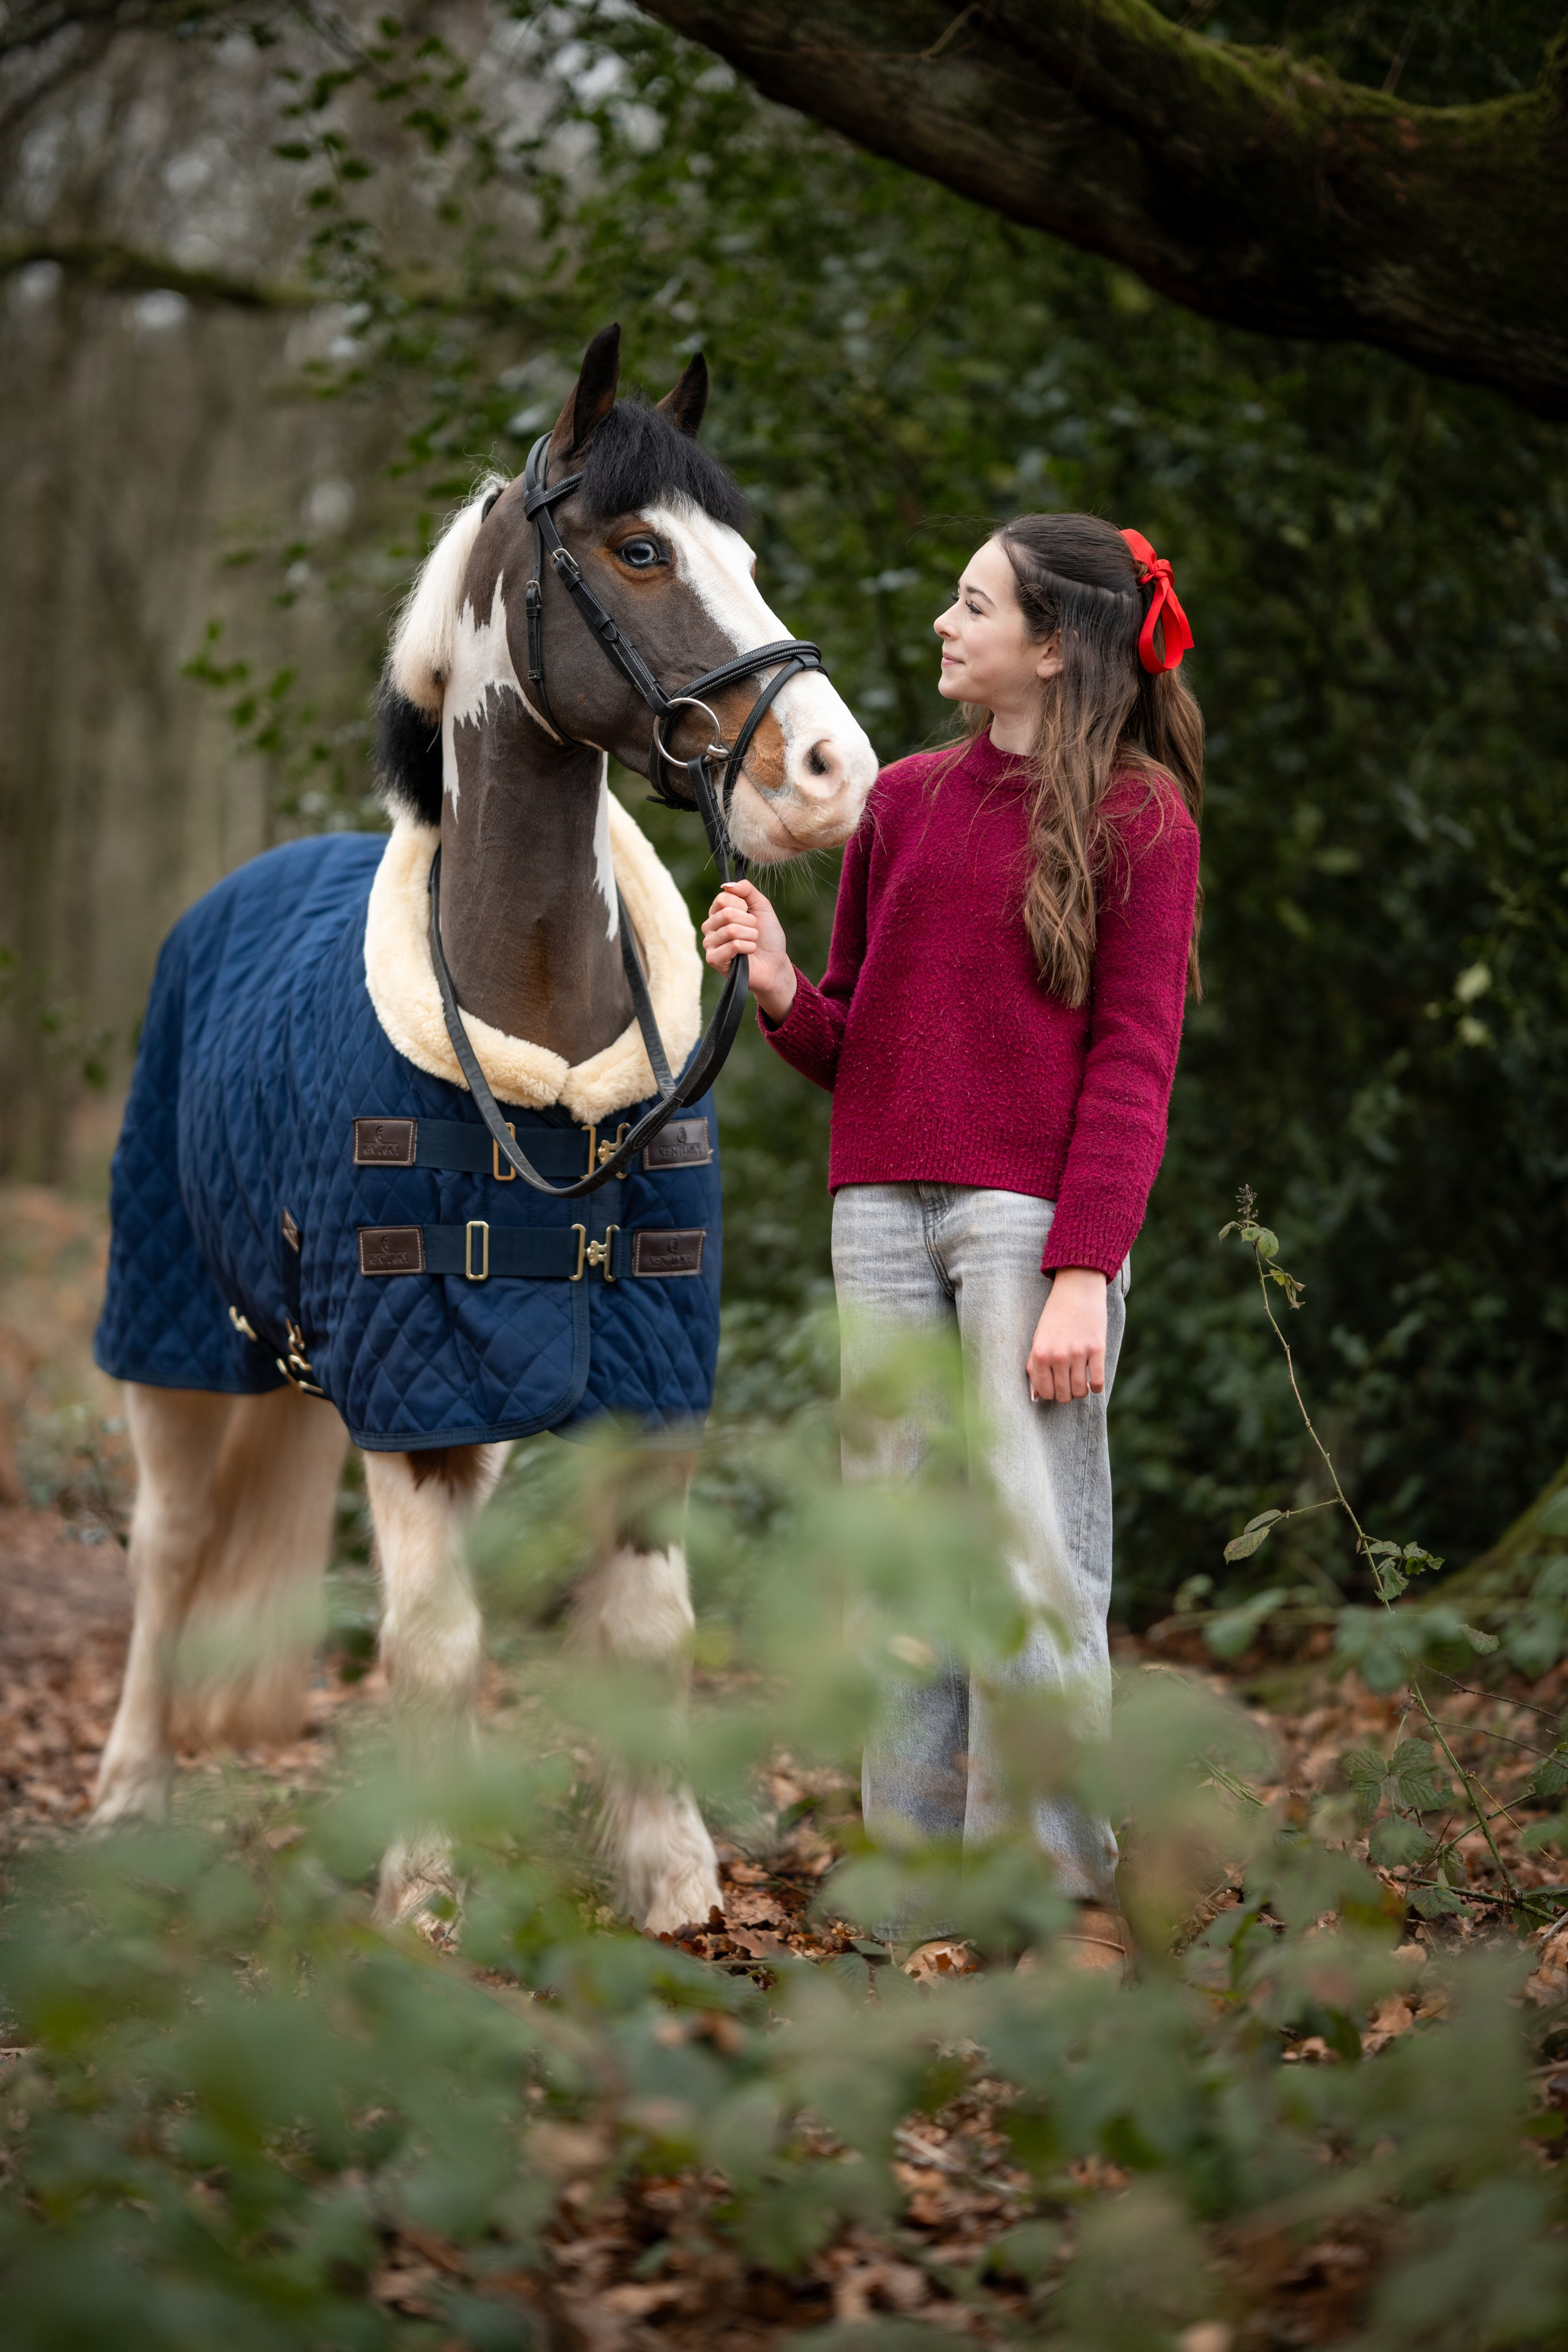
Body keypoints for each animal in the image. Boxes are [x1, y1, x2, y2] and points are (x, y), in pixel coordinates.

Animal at [89, 324, 877, 1931]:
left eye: (741, 551)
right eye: (637, 548)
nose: (836, 775)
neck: (546, 1072)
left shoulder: (638, 1380)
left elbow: (643, 1631)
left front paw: (669, 1877)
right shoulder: (417, 1405)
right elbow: (433, 1646)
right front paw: (423, 1896)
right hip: (175, 1339)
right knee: (172, 1551)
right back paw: (134, 1788)